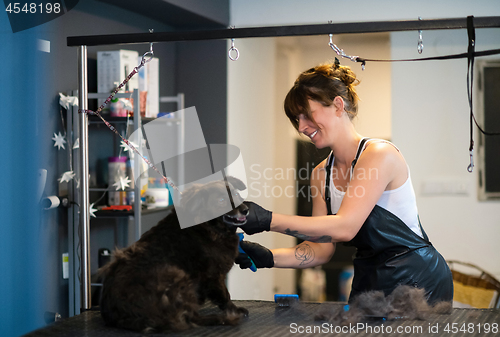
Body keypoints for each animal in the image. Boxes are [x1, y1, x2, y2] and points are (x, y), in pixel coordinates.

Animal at [99, 176, 250, 330]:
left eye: (236, 194)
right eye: (221, 200)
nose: (246, 210)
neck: (208, 227)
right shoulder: (214, 275)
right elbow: (225, 295)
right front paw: (234, 310)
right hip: (177, 274)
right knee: (191, 318)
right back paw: (220, 319)